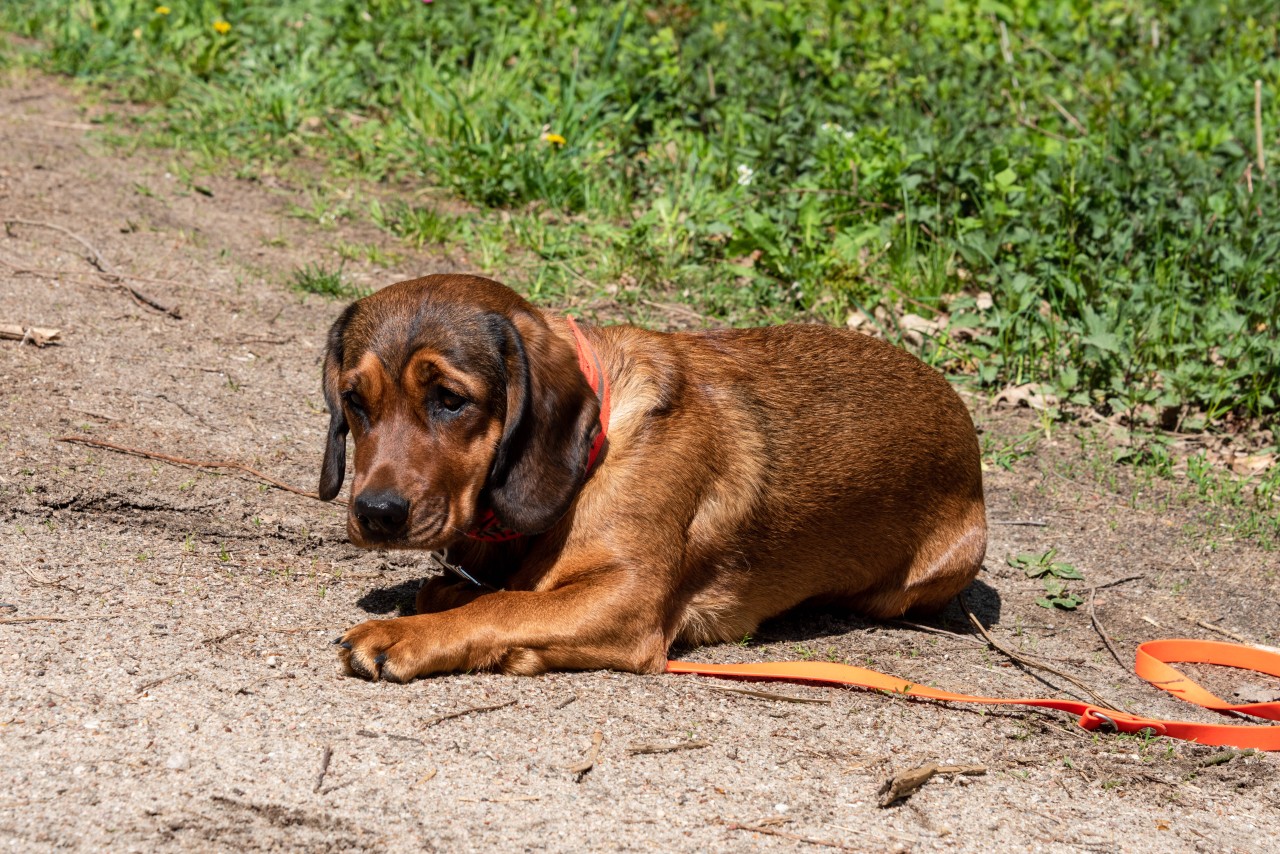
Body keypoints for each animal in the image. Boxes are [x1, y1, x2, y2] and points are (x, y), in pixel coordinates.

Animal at [322, 273, 988, 681]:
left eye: (450, 400)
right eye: (353, 400)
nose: (377, 514)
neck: (597, 450)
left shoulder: (629, 601)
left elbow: (501, 607)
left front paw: (405, 635)